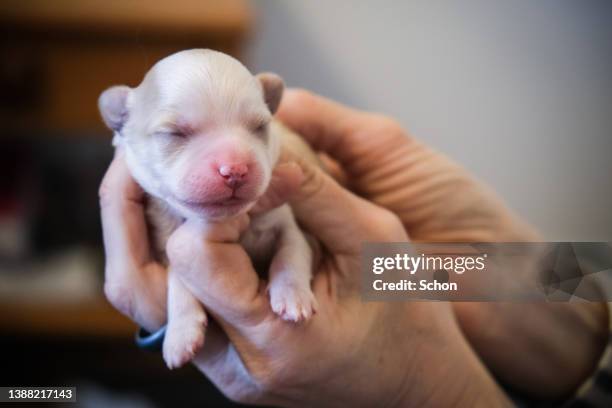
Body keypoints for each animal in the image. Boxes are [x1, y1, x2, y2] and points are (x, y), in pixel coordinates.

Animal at [98, 49, 318, 368]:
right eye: (174, 133)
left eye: (259, 127)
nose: (235, 169)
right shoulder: (166, 238)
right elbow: (177, 277)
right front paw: (180, 332)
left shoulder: (285, 219)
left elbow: (292, 249)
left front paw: (293, 295)